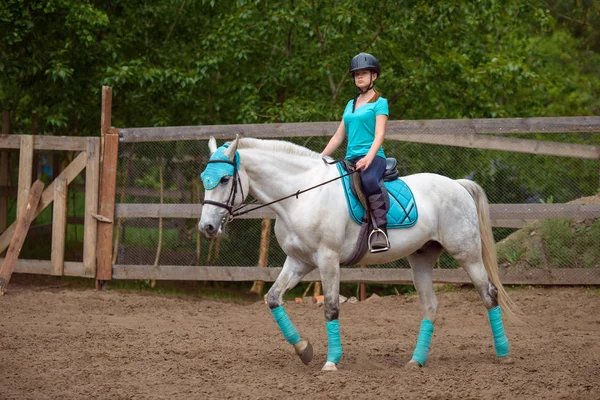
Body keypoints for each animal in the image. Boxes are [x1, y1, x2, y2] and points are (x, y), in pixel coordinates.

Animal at [199, 135, 516, 372]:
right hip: (421, 258)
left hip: (467, 254)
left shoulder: (327, 260)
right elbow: (273, 298)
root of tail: (457, 184)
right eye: (204, 178)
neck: (302, 195)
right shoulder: (299, 261)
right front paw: (304, 350)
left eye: (225, 179)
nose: (207, 227)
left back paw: (503, 354)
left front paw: (330, 362)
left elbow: (331, 307)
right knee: (430, 306)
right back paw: (416, 361)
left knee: (488, 293)